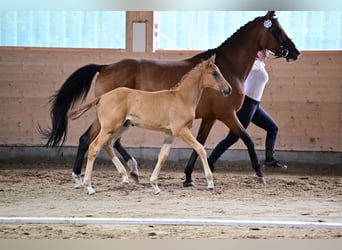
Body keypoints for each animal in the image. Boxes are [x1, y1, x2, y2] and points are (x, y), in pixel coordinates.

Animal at [68, 55, 231, 194]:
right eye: (214, 73)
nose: (228, 89)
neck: (181, 98)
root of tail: (103, 97)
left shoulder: (169, 134)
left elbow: (162, 156)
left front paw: (155, 185)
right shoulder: (181, 130)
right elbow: (200, 148)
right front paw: (210, 183)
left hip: (121, 126)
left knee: (108, 144)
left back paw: (125, 176)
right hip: (109, 127)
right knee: (94, 146)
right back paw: (89, 186)